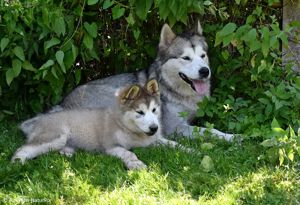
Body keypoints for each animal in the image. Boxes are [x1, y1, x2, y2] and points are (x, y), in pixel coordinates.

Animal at [12, 79, 180, 169]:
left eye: (154, 110)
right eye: (140, 112)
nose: (154, 128)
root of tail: (40, 119)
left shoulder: (155, 140)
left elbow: (174, 144)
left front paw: (186, 150)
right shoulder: (111, 146)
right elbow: (129, 153)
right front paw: (136, 164)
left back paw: (67, 153)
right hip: (56, 136)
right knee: (23, 148)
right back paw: (16, 162)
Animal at [52, 21, 233, 141]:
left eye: (203, 55)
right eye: (186, 58)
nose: (205, 71)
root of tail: (63, 104)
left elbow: (211, 128)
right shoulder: (176, 127)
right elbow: (208, 131)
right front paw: (234, 138)